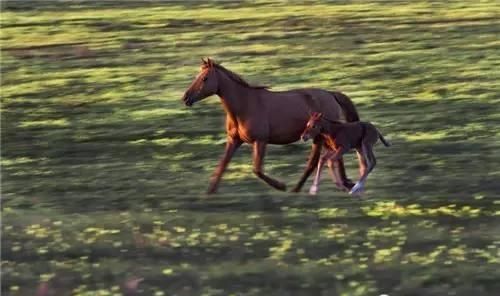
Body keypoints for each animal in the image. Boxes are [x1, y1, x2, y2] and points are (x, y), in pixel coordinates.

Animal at [182, 57, 362, 194]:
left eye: (205, 78)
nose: (185, 98)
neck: (244, 106)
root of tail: (331, 94)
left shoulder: (260, 141)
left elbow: (257, 170)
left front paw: (281, 186)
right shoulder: (234, 140)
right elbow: (222, 166)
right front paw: (209, 193)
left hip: (320, 137)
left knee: (315, 161)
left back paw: (300, 189)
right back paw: (345, 183)